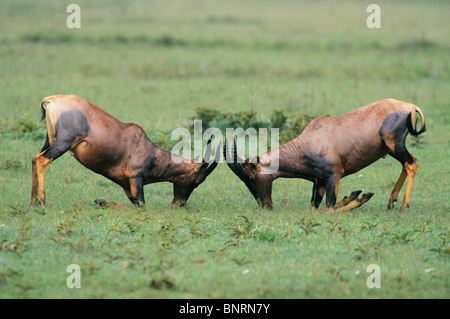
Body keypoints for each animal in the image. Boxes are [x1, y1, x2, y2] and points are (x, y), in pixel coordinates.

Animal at [31, 94, 220, 208]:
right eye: (197, 181)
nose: (178, 204)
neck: (148, 149)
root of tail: (54, 100)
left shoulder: (126, 186)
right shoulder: (135, 179)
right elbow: (141, 206)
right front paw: (100, 202)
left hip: (49, 140)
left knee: (34, 159)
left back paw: (33, 202)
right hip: (63, 142)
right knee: (42, 160)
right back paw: (42, 202)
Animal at [225, 99, 426, 211]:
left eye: (251, 177)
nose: (265, 206)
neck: (308, 142)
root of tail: (410, 106)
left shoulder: (333, 175)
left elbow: (328, 208)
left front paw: (362, 197)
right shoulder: (320, 181)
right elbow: (315, 207)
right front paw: (353, 195)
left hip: (395, 144)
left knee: (411, 164)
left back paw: (403, 206)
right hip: (391, 149)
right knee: (409, 163)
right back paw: (391, 202)